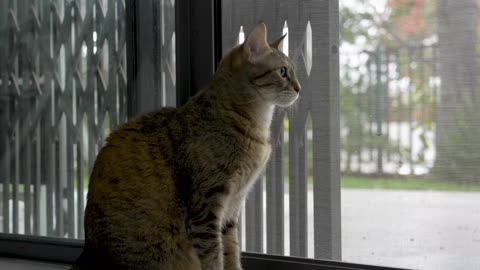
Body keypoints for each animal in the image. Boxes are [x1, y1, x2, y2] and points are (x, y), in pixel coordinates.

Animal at [71, 22, 300, 270]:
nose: (299, 88)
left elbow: (231, 251)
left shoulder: (232, 208)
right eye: (283, 71)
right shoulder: (206, 207)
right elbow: (214, 256)